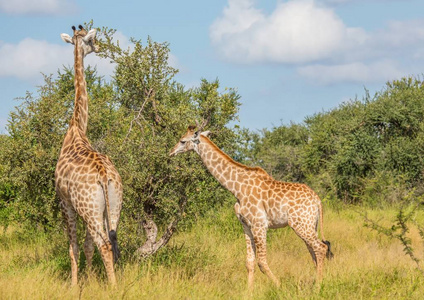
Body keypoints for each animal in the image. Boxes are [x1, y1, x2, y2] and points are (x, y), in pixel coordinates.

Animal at [55, 25, 122, 286]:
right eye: (92, 40)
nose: (100, 47)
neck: (76, 127)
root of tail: (104, 175)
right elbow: (86, 246)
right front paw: (91, 280)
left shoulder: (65, 202)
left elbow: (73, 246)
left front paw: (74, 285)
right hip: (112, 204)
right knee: (111, 239)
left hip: (89, 208)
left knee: (103, 243)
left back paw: (114, 287)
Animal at [170, 123, 334, 288]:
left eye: (182, 141)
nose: (171, 152)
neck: (236, 188)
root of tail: (317, 200)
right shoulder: (246, 225)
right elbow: (249, 262)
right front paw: (249, 291)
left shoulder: (259, 224)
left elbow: (261, 262)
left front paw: (279, 286)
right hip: (309, 225)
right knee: (314, 252)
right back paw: (318, 282)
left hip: (301, 224)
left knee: (321, 248)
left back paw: (318, 286)